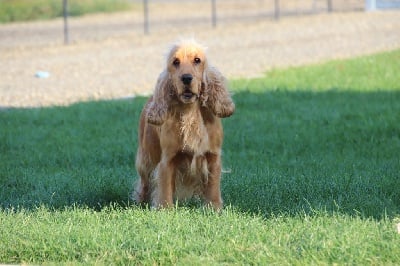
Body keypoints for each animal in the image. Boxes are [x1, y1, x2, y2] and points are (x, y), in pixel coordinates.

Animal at [134, 40, 234, 210]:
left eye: (197, 60)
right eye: (175, 62)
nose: (186, 78)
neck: (190, 112)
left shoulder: (213, 157)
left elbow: (213, 187)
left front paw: (214, 208)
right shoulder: (167, 159)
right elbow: (165, 187)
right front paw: (164, 209)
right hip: (147, 157)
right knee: (144, 182)